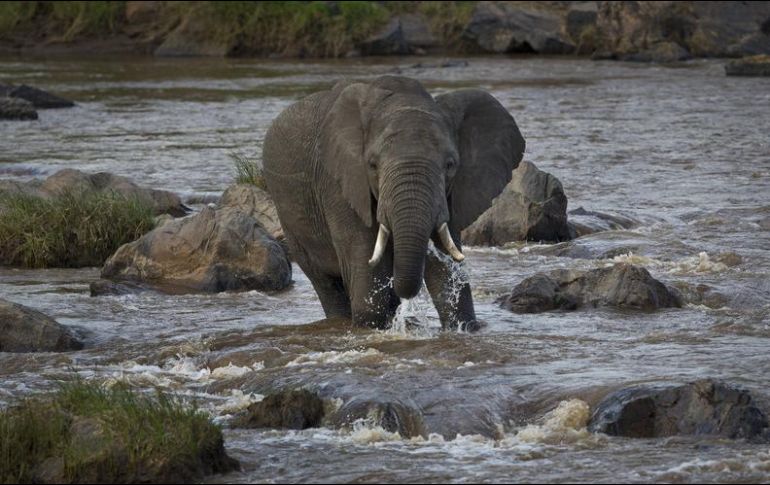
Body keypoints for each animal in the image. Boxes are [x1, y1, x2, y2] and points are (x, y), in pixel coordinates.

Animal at [263, 75, 525, 331]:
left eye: (450, 164)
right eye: (372, 164)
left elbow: (444, 265)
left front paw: (462, 327)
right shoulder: (338, 184)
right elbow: (368, 273)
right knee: (326, 284)